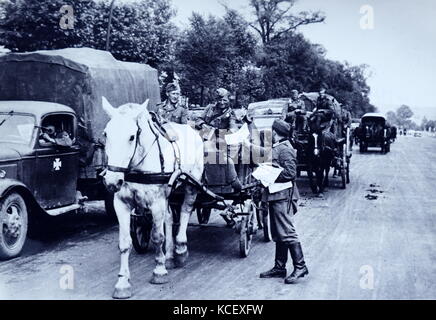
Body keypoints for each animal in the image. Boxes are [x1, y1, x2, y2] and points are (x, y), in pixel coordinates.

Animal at [102, 96, 204, 298]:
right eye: (106, 134)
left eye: (131, 136)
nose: (111, 181)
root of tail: (193, 129)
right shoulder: (121, 204)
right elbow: (124, 243)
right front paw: (122, 283)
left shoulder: (157, 203)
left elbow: (157, 237)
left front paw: (159, 271)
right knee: (170, 219)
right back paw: (170, 255)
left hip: (191, 185)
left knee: (185, 212)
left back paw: (181, 249)